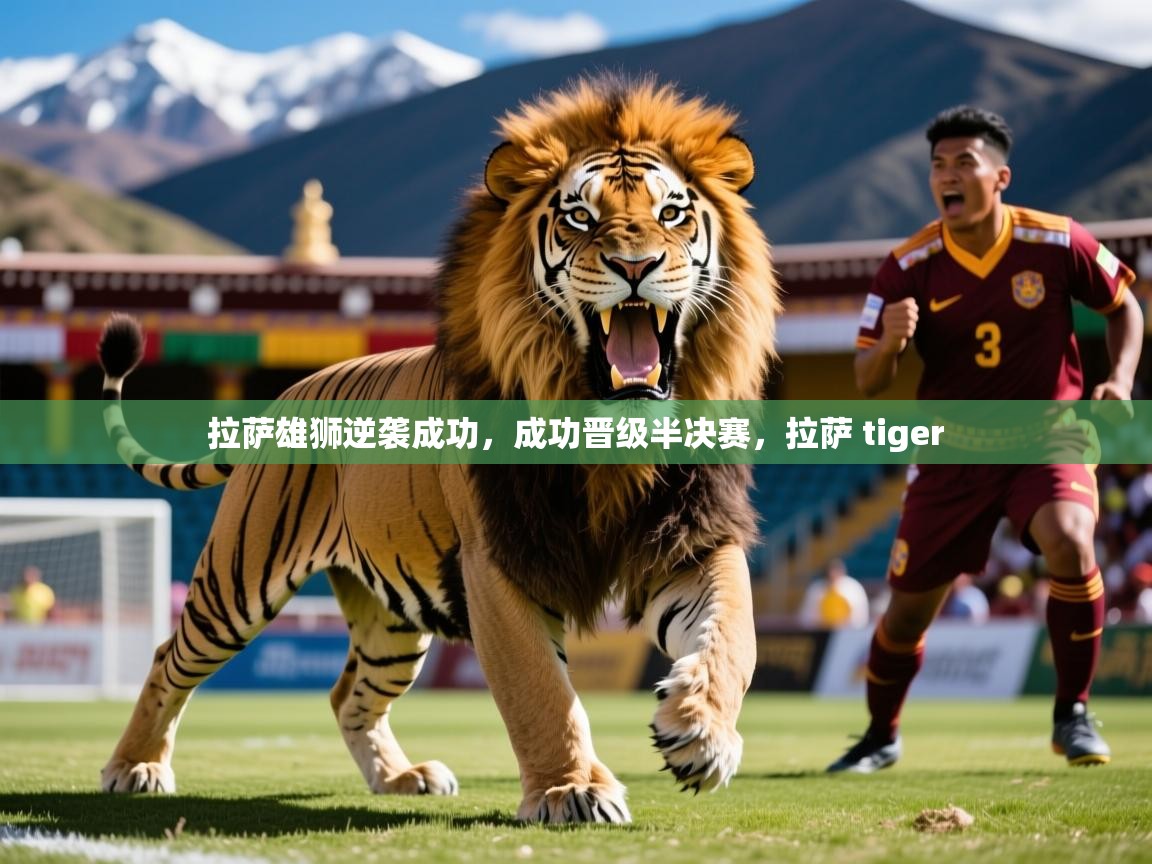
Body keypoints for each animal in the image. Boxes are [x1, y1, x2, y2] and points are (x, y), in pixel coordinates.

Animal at [97, 75, 780, 824]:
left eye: (672, 213)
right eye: (579, 217)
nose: (637, 265)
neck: (606, 433)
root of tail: (291, 390)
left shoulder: (688, 535)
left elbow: (733, 634)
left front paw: (700, 734)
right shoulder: (498, 558)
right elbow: (539, 689)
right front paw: (572, 790)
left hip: (394, 623)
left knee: (348, 696)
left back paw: (402, 777)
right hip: (239, 581)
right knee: (168, 656)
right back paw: (134, 767)